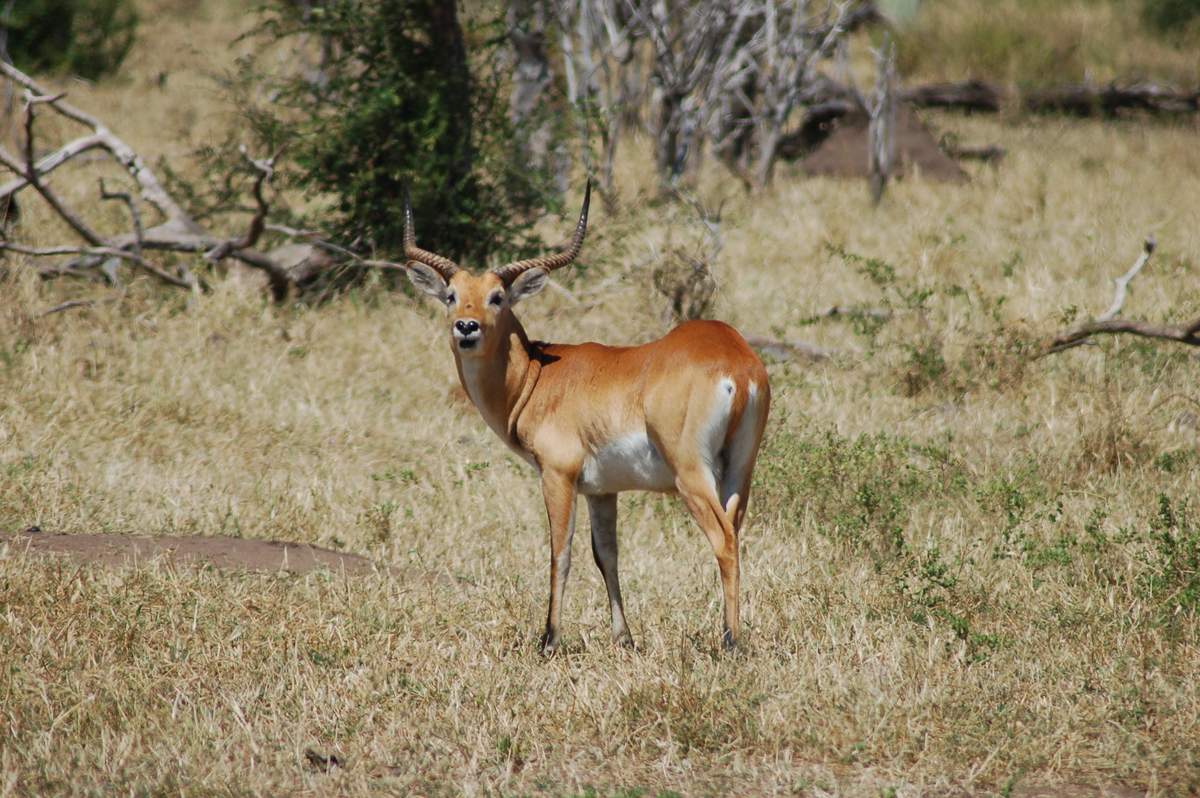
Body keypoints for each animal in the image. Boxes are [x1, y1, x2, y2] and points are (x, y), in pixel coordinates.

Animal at [405, 183, 768, 652]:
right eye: (451, 295)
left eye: (497, 297)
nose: (466, 327)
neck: (538, 376)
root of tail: (735, 363)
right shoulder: (602, 489)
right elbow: (605, 554)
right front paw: (624, 638)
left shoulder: (557, 475)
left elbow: (560, 552)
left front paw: (549, 639)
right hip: (740, 470)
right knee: (736, 534)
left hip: (691, 474)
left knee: (722, 540)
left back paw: (730, 643)